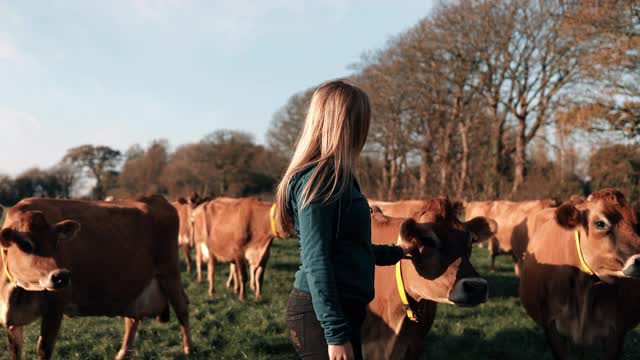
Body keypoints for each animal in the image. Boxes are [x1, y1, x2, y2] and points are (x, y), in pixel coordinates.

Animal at [0, 197, 191, 360]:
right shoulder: (12, 322)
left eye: (57, 242)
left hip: (169, 272)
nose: (61, 276)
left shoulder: (55, 307)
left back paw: (188, 349)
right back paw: (122, 354)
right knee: (132, 319)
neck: (14, 294)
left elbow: (43, 350)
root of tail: (154, 198)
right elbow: (15, 351)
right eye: (25, 244)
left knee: (182, 306)